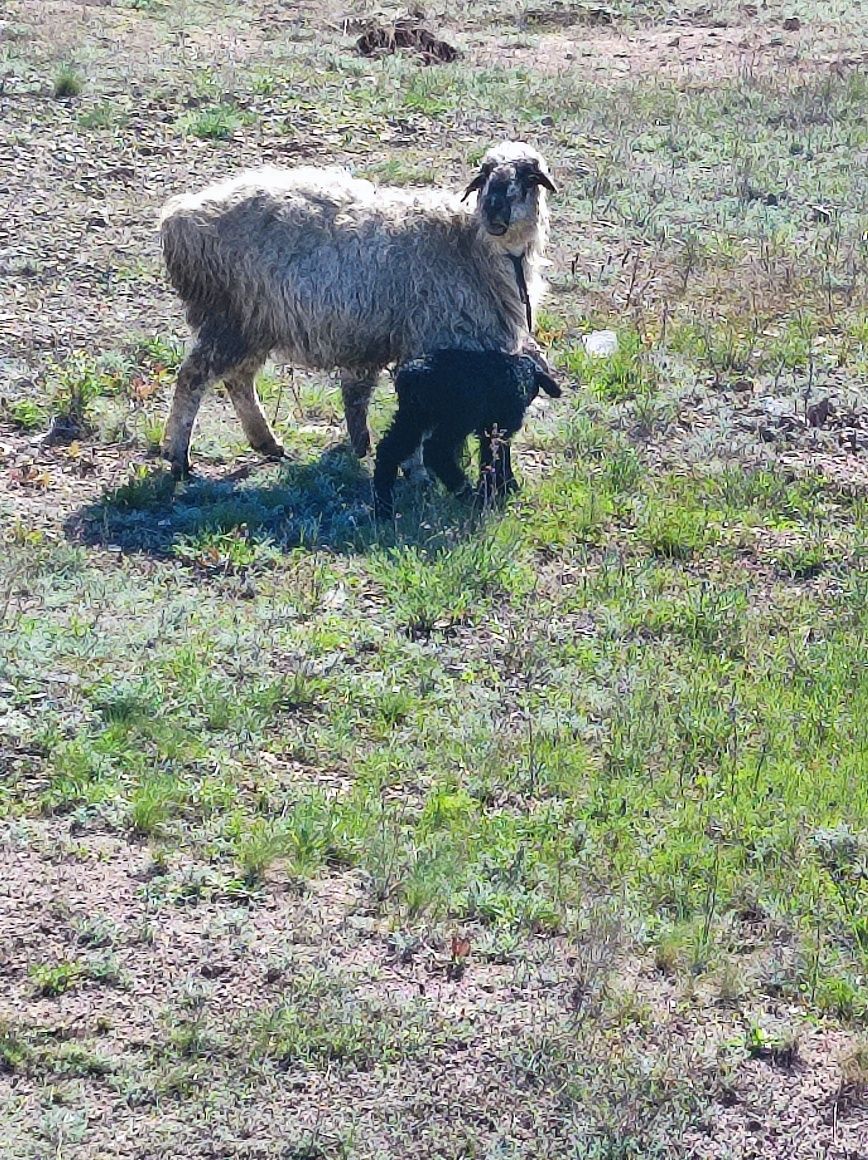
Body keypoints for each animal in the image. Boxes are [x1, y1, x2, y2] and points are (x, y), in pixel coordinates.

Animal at [157, 142, 557, 477]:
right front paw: (418, 471)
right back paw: (177, 459)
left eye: (528, 176)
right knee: (194, 378)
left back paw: (266, 443)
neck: (470, 246)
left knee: (238, 378)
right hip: (228, 314)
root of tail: (180, 215)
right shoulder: (430, 341)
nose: (493, 211)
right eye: (485, 175)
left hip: (256, 320)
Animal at [371, 345, 563, 519]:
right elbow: (497, 457)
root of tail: (414, 375)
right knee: (436, 450)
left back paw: (383, 507)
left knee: (388, 449)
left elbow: (490, 458)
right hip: (458, 416)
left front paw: (497, 488)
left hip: (413, 416)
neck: (520, 372)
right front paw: (502, 488)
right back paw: (465, 492)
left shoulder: (489, 428)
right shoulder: (501, 425)